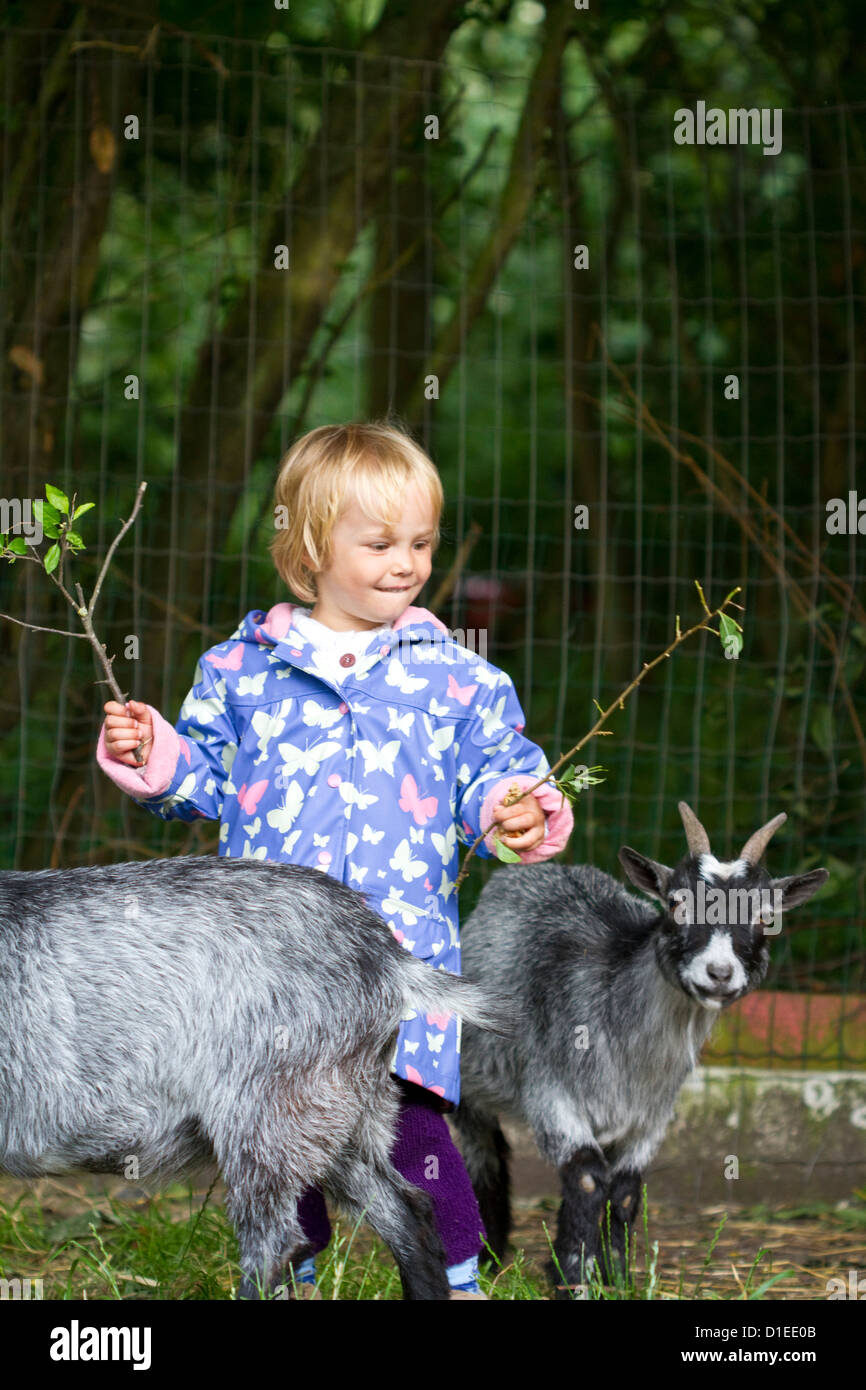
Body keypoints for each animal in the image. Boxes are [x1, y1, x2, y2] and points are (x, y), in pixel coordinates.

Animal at [453, 806, 828, 1289]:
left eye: (766, 916)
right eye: (676, 903)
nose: (720, 973)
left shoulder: (650, 1115)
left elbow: (626, 1191)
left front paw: (615, 1275)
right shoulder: (553, 1091)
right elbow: (587, 1177)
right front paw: (573, 1277)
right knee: (483, 1154)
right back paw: (487, 1253)